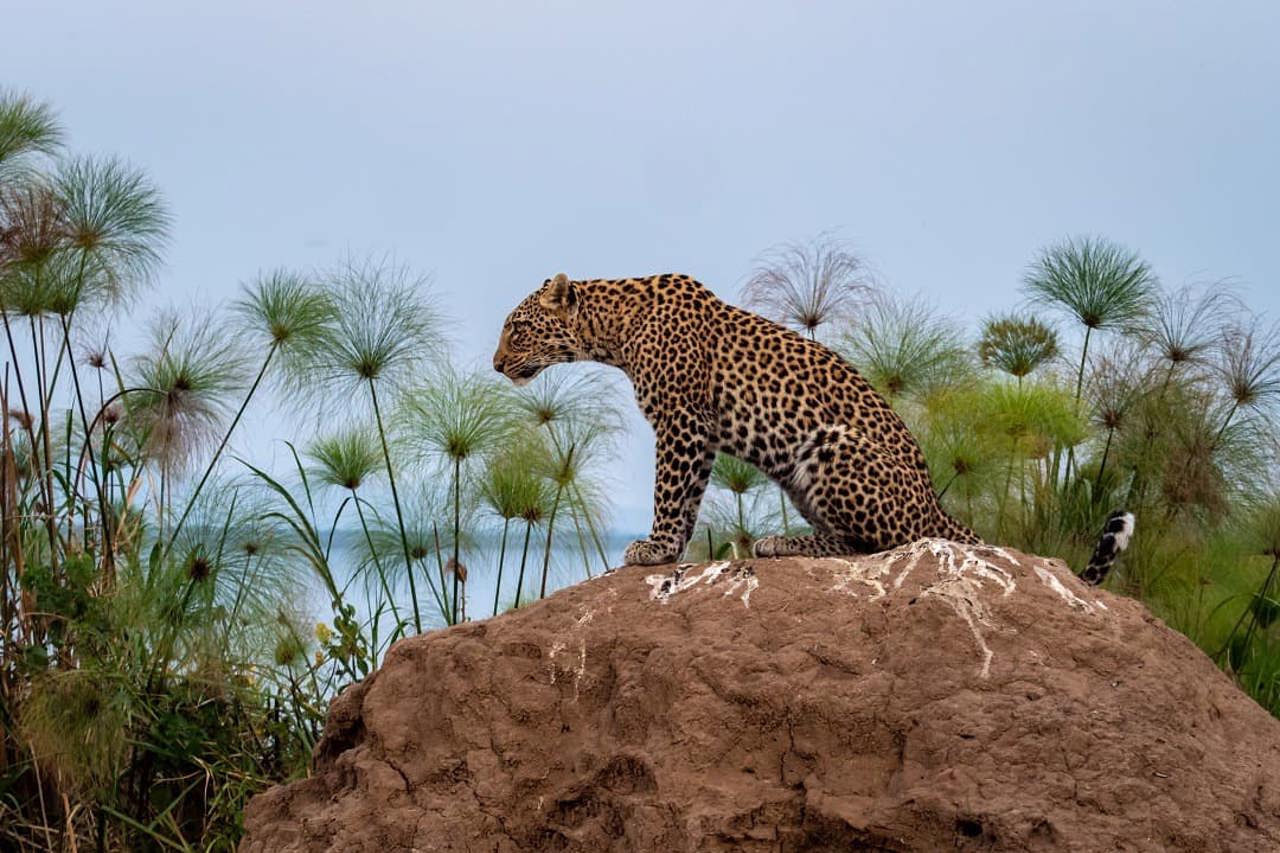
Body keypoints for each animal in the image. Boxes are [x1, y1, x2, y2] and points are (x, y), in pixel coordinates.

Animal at [494, 273, 1133, 584]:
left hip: (831, 444)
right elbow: (688, 496)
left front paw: (653, 549)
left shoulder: (681, 421)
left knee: (882, 547)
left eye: (517, 330)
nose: (496, 366)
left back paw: (781, 544)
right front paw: (666, 551)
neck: (612, 329)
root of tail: (935, 502)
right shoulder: (698, 433)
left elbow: (670, 494)